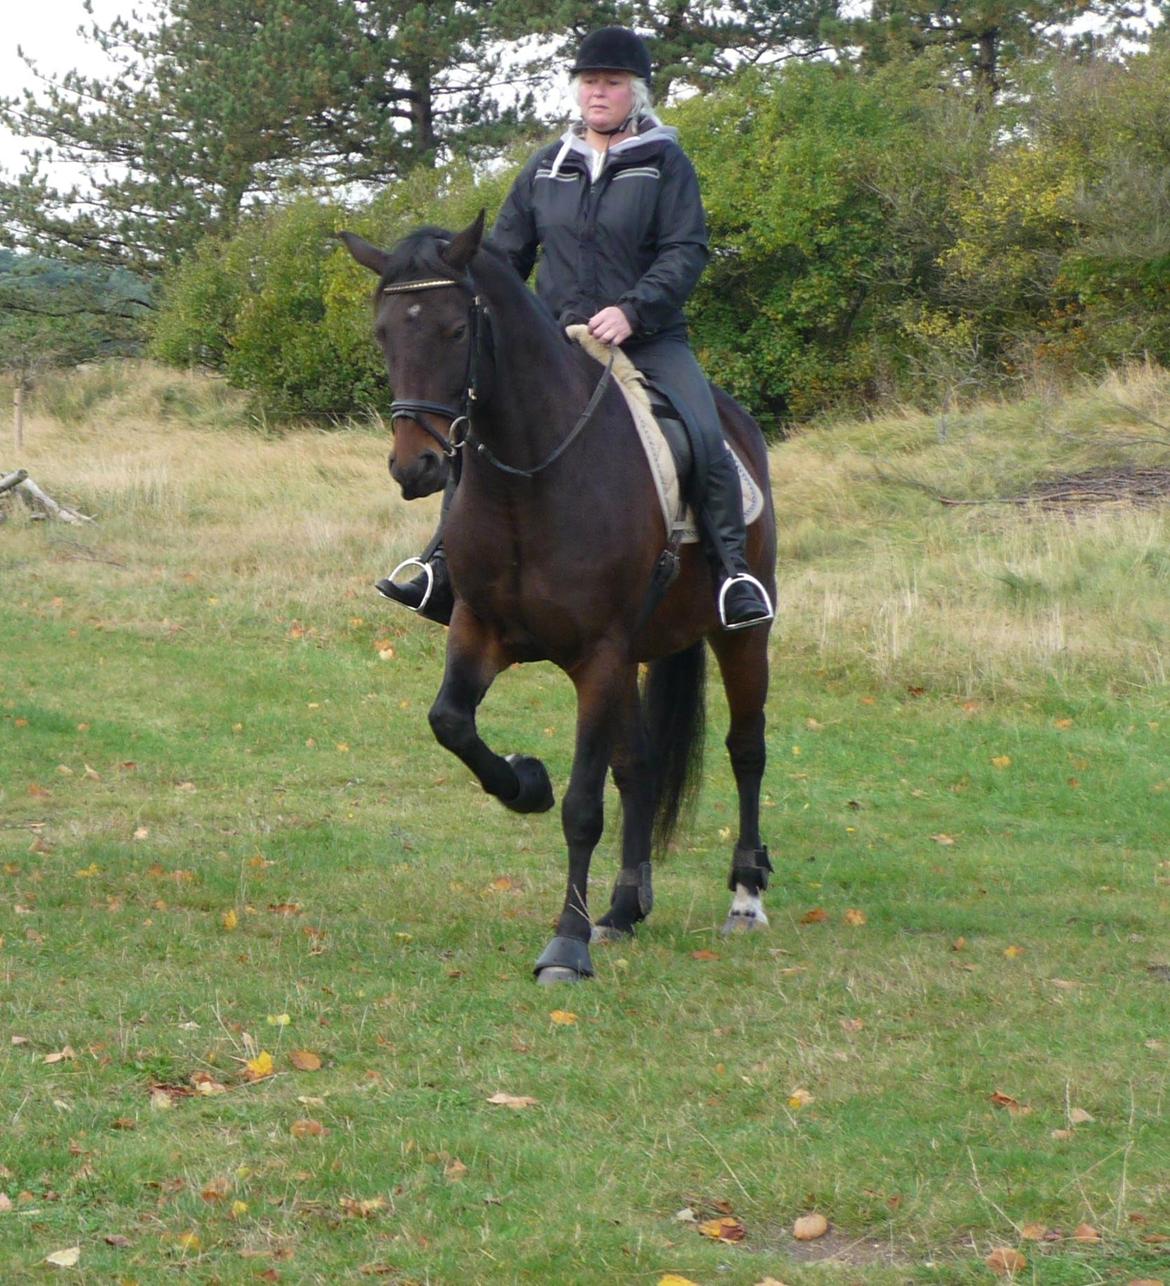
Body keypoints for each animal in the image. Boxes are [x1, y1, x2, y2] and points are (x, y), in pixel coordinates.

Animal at [339, 213, 776, 982]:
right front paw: (525, 782)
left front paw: (565, 945)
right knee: (642, 768)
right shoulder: (479, 630)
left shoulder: (597, 655)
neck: (532, 478)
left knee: (745, 750)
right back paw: (624, 909)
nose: (416, 466)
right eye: (385, 332)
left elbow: (582, 807)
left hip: (739, 635)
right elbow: (450, 723)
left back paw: (745, 898)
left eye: (457, 329)